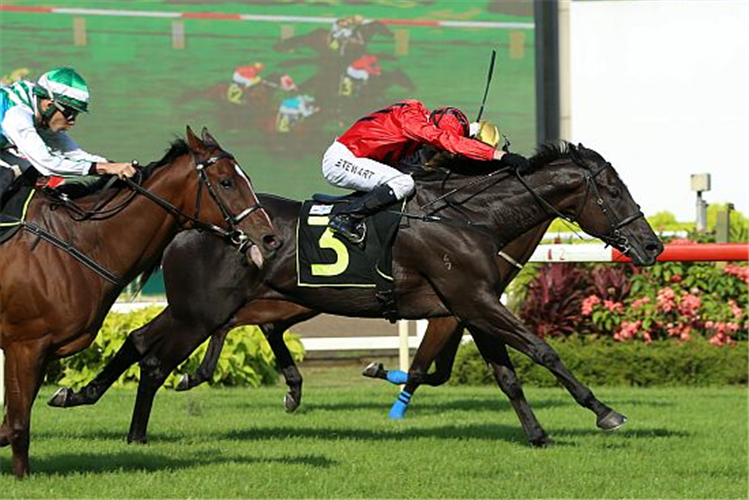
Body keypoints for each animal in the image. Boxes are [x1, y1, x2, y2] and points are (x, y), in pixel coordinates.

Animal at [0, 126, 280, 476]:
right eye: (227, 181)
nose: (270, 238)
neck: (77, 243)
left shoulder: (39, 350)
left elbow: (9, 422)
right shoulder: (25, 345)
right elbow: (18, 423)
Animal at [51, 142, 660, 446]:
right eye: (612, 190)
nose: (651, 244)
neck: (472, 218)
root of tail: (189, 225)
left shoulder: (471, 305)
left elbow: (506, 375)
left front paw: (537, 434)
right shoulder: (473, 301)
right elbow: (541, 351)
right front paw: (604, 411)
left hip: (193, 308)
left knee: (137, 339)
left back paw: (78, 394)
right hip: (201, 310)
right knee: (155, 357)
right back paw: (136, 428)